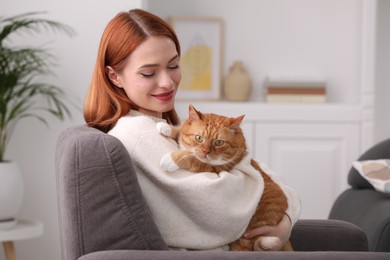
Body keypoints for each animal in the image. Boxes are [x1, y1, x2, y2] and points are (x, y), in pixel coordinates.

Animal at [157, 105, 294, 252]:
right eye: (199, 138)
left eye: (219, 142)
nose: (205, 152)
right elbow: (180, 129)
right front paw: (165, 127)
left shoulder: (217, 169)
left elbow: (192, 158)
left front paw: (171, 159)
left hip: (249, 234)